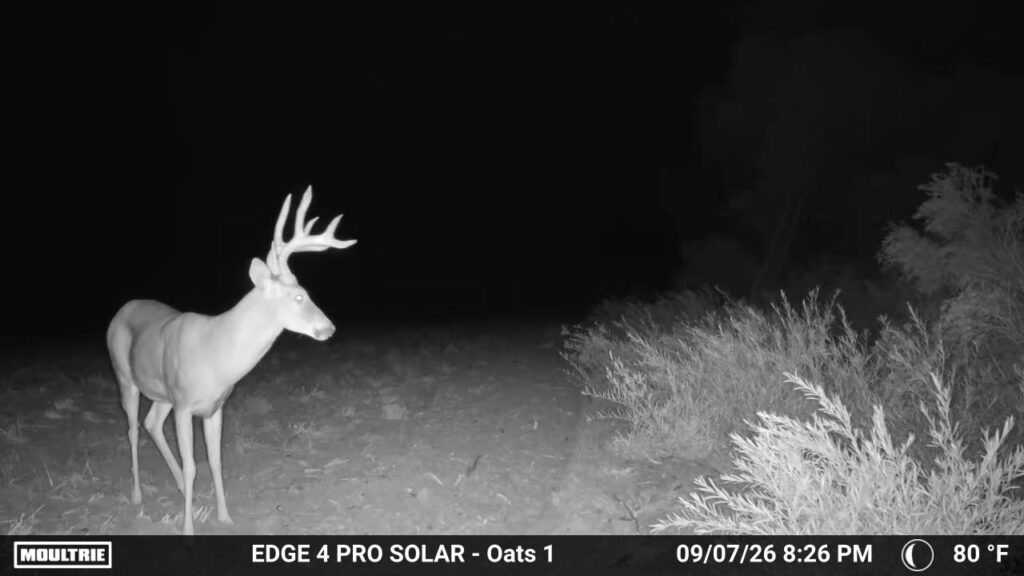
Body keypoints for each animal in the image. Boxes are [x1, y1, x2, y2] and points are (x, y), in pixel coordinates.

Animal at [106, 186, 356, 535]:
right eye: (299, 296)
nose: (329, 328)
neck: (217, 355)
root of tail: (121, 310)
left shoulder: (215, 407)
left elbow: (215, 461)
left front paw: (225, 517)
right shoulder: (184, 405)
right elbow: (192, 466)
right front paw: (188, 529)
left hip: (162, 394)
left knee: (151, 422)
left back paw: (178, 488)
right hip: (125, 377)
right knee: (131, 430)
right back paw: (138, 496)